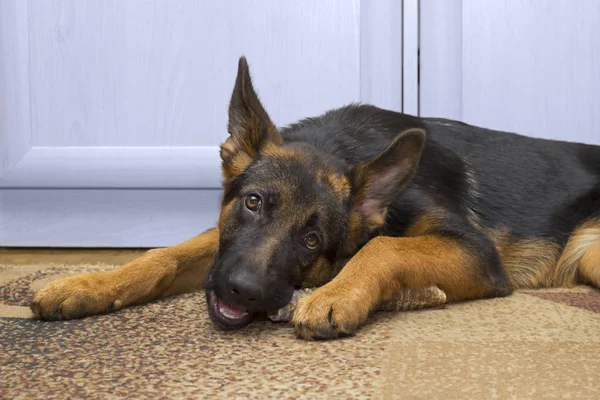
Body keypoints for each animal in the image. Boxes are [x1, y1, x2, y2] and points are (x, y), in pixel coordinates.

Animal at [29, 55, 600, 338]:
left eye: (311, 240)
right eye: (253, 203)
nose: (241, 291)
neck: (338, 145)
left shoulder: (473, 251)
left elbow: (382, 246)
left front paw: (335, 295)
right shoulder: (224, 241)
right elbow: (166, 254)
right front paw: (88, 283)